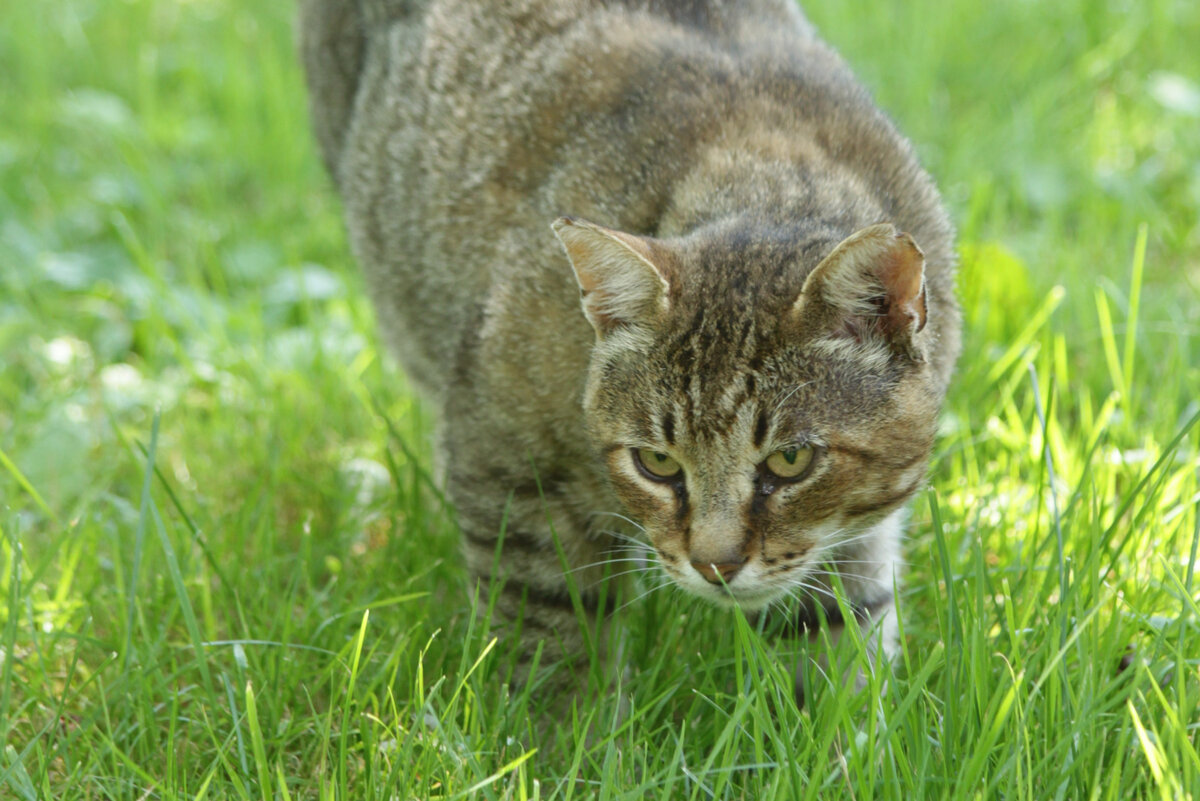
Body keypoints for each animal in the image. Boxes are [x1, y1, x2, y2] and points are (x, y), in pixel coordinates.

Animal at [302, 0, 964, 700]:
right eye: (656, 463)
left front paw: (838, 721)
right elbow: (549, 642)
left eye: (790, 461)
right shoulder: (512, 471)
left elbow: (839, 635)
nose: (714, 565)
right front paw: (560, 730)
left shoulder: (854, 537)